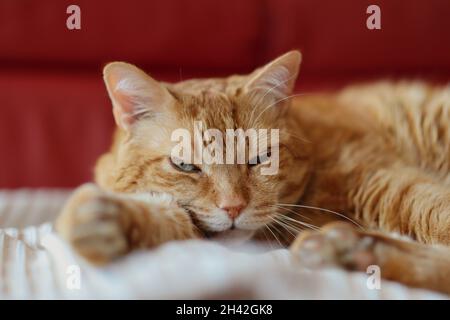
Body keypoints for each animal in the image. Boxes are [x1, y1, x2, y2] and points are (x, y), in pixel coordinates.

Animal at [56, 50, 450, 296]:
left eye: (261, 158)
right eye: (185, 165)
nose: (233, 208)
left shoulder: (387, 183)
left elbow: (435, 215)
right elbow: (164, 217)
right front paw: (105, 219)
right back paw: (350, 249)